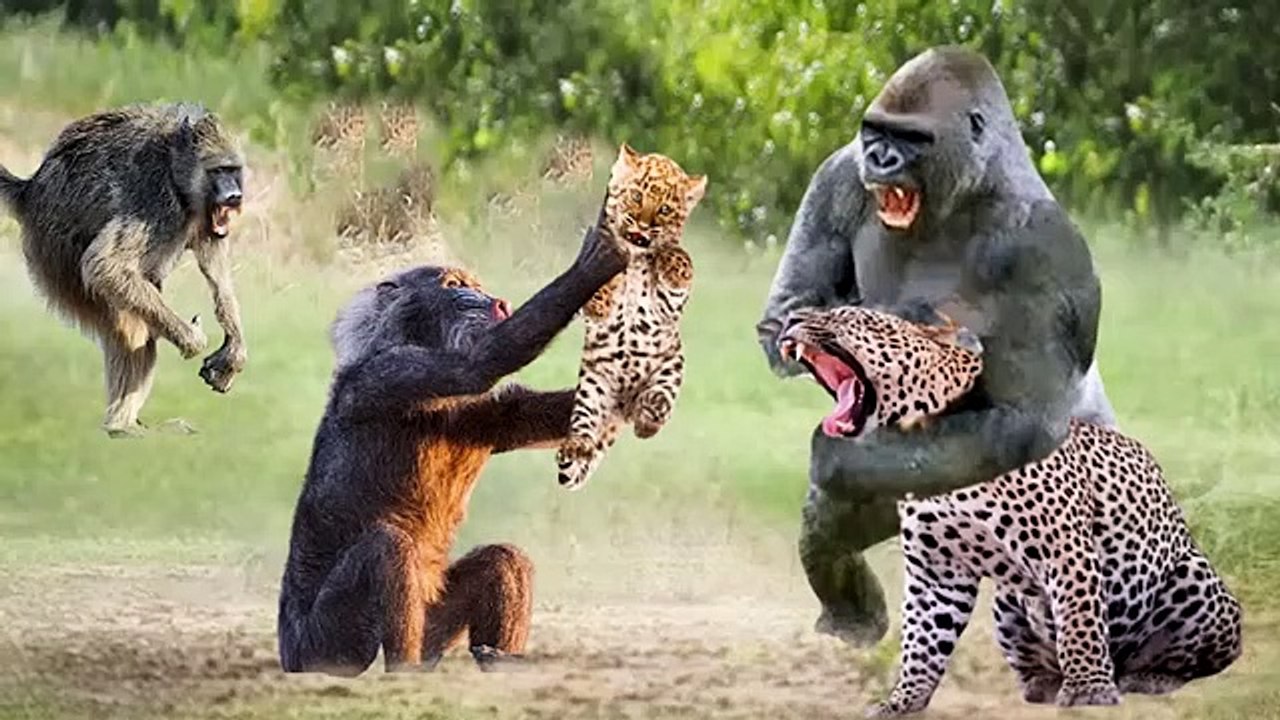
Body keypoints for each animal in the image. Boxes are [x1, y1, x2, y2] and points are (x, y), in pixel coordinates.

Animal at [0, 102, 248, 438]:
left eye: (233, 170)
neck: (178, 168)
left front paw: (233, 351)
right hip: (56, 254)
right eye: (218, 171)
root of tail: (32, 189)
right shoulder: (154, 201)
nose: (234, 196)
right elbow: (105, 265)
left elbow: (214, 266)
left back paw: (131, 425)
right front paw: (193, 340)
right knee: (132, 325)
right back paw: (120, 427)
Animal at [276, 199, 627, 676]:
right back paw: (403, 668)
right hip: (325, 646)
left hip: (434, 629)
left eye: (474, 284)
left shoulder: (483, 414)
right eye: (455, 285)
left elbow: (545, 412)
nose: (493, 299)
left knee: (504, 560)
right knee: (386, 549)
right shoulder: (396, 373)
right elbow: (479, 362)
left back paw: (499, 659)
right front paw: (596, 261)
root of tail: (287, 655)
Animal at [555, 144, 706, 490]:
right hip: (593, 388)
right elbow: (598, 284)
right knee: (584, 427)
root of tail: (623, 409)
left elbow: (679, 258)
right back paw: (575, 447)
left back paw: (649, 416)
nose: (642, 224)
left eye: (664, 209)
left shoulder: (667, 305)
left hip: (668, 371)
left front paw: (672, 262)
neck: (636, 259)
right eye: (637, 196)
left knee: (657, 406)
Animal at [755, 46, 1119, 647]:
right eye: (875, 131)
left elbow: (1021, 422)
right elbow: (787, 312)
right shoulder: (839, 173)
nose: (879, 159)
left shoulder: (1046, 247)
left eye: (912, 139)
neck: (968, 192)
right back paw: (849, 615)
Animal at [776, 305, 1243, 718]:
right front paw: (902, 701)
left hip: (1192, 579)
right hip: (1008, 602)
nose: (788, 319)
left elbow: (1080, 622)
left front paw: (1089, 691)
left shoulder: (1065, 548)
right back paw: (1043, 683)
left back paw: (1146, 678)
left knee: (1196, 659)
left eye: (843, 315)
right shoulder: (937, 570)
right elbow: (923, 639)